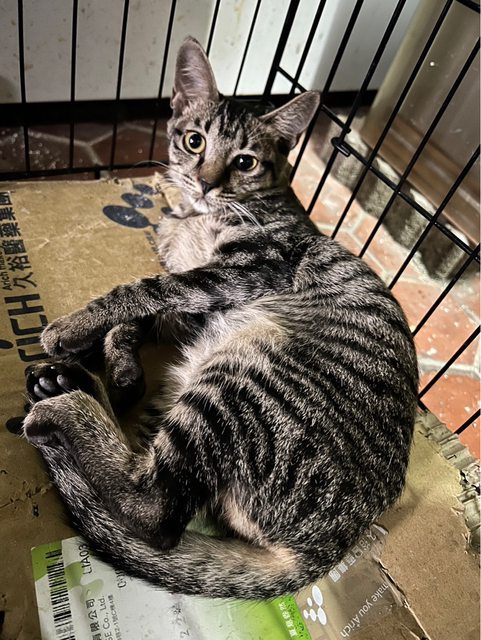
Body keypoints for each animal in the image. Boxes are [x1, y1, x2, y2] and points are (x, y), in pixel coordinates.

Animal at [21, 36, 418, 599]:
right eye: (194, 141)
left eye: (245, 161)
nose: (205, 183)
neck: (195, 216)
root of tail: (331, 544)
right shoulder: (191, 290)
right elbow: (143, 311)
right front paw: (120, 365)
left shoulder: (248, 268)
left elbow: (143, 290)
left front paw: (73, 327)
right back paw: (71, 382)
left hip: (241, 376)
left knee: (156, 509)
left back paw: (67, 405)